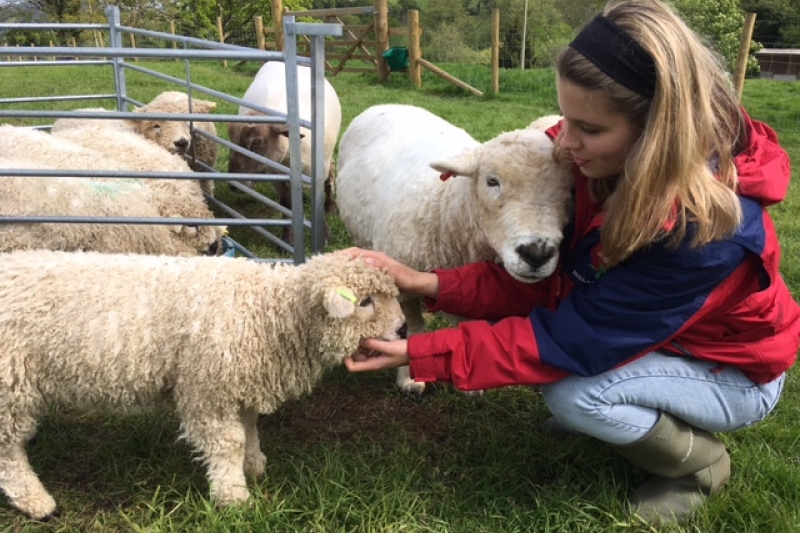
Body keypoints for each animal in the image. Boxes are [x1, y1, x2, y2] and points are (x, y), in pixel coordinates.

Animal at [0, 250, 404, 520]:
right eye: (365, 301)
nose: (403, 330)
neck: (267, 314)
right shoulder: (206, 389)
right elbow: (228, 442)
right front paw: (233, 495)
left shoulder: (239, 385)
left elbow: (249, 427)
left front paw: (253, 464)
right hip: (10, 385)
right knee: (7, 452)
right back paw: (35, 500)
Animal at [227, 59, 342, 238]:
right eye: (230, 138)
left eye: (256, 142)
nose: (233, 186)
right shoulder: (275, 175)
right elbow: (287, 205)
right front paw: (288, 238)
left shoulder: (319, 171)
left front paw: (325, 234)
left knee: (331, 172)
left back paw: (330, 206)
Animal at [334, 104, 572, 394]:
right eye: (492, 181)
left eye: (571, 190)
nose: (536, 254)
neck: (446, 208)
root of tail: (388, 105)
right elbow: (413, 327)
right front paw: (410, 377)